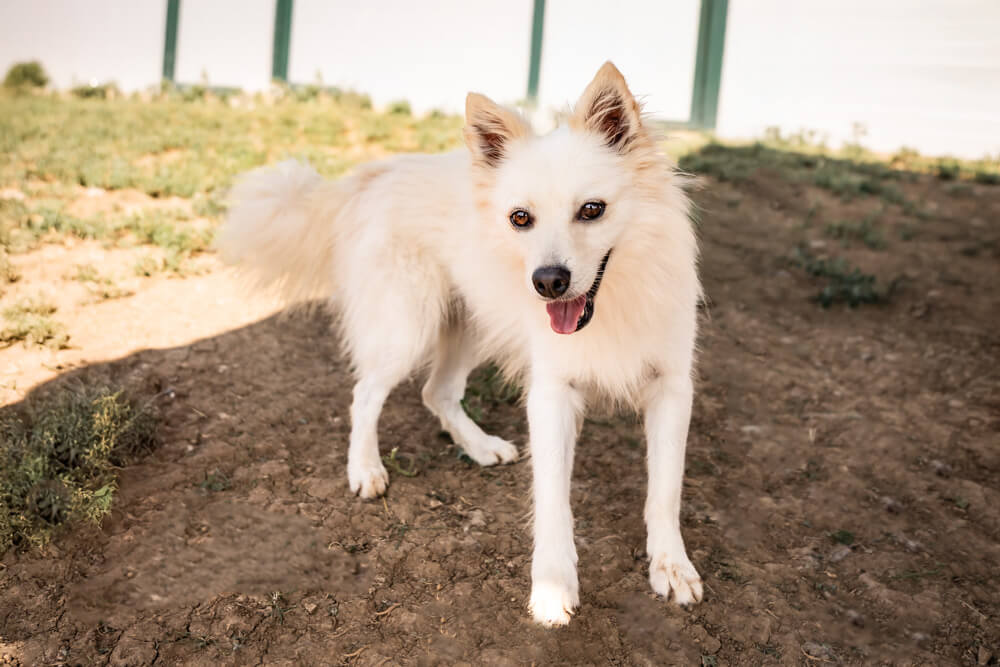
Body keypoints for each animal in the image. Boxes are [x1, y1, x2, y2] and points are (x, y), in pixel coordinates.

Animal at [217, 62, 703, 626]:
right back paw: (365, 469)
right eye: (520, 218)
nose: (547, 282)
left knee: (437, 392)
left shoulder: (672, 389)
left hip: (471, 326)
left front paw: (671, 567)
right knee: (366, 394)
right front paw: (553, 585)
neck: (614, 300)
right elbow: (553, 500)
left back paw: (479, 446)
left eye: (592, 209)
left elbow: (665, 491)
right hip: (407, 329)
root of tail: (373, 177)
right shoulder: (552, 394)